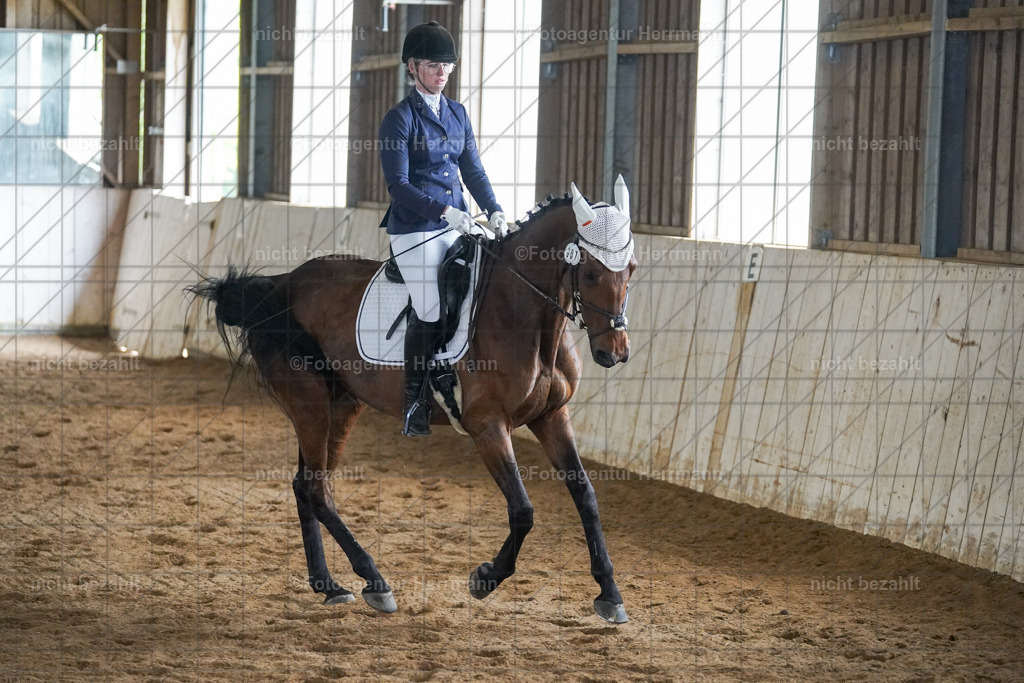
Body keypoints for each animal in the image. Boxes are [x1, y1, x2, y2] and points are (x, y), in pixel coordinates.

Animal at [189, 180, 637, 623]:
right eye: (591, 272)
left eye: (631, 269)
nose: (614, 353)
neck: (523, 317)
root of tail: (281, 283)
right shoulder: (488, 427)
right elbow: (523, 511)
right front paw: (485, 578)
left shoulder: (552, 416)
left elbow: (586, 496)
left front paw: (610, 594)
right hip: (309, 405)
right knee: (316, 489)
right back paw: (375, 583)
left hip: (341, 406)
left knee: (306, 486)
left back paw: (329, 585)